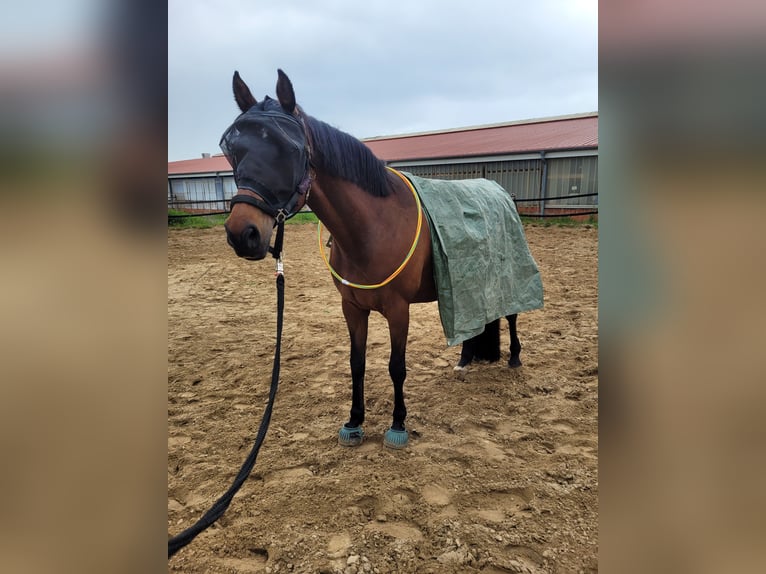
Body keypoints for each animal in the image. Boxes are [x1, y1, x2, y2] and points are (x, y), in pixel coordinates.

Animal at [222, 69, 526, 449]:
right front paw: (354, 421)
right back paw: (465, 359)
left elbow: (397, 366)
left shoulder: (398, 309)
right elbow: (357, 362)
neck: (373, 227)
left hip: (507, 274)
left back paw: (514, 357)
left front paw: (397, 425)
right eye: (233, 150)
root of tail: (500, 192)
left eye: (290, 149)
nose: (242, 234)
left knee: (511, 314)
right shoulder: (352, 308)